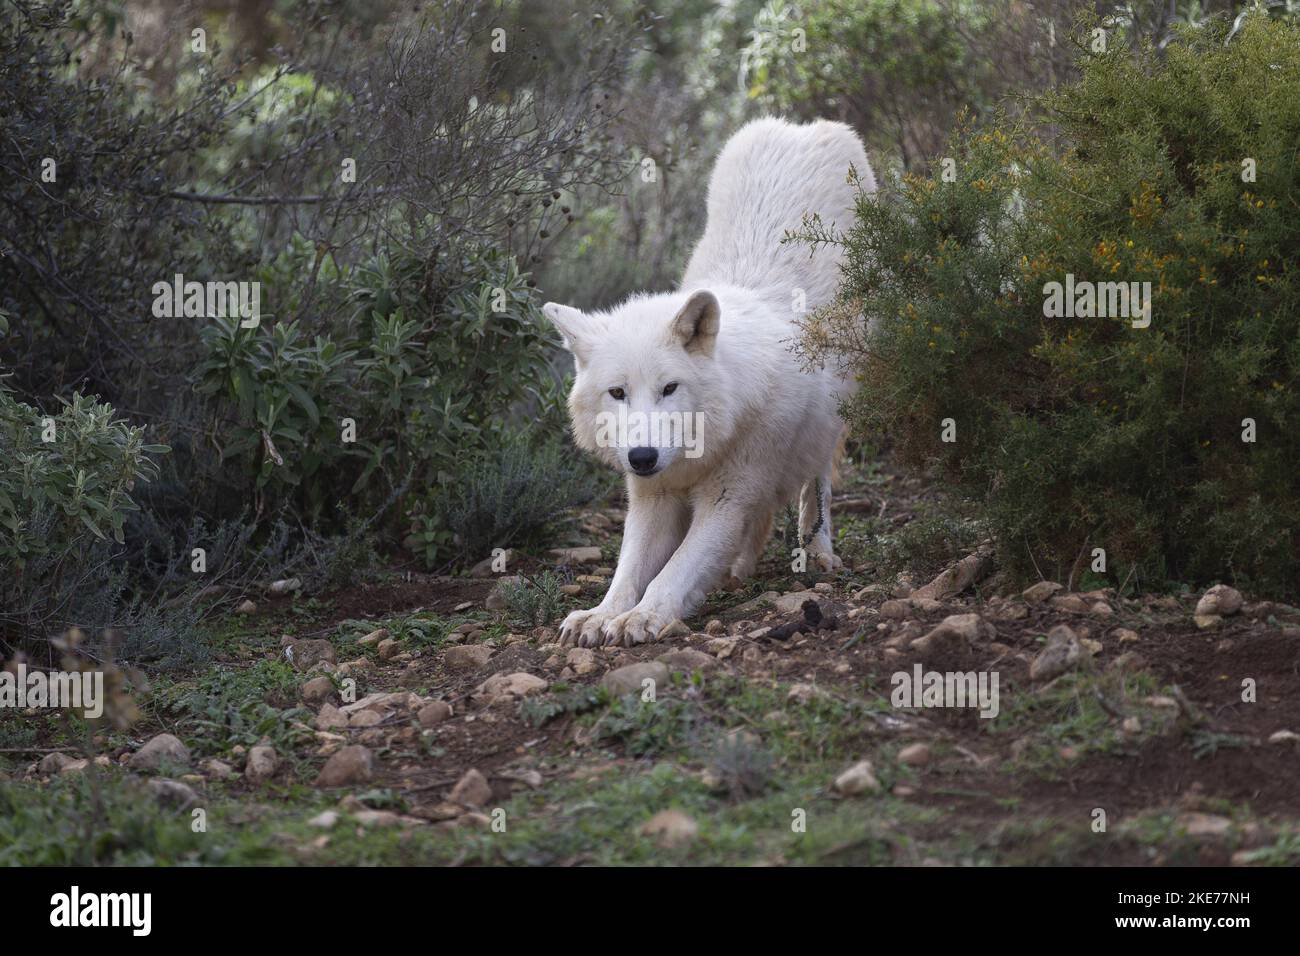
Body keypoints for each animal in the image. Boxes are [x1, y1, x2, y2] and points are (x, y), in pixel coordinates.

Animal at [538, 115, 873, 647]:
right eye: (618, 393)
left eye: (669, 388)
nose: (642, 457)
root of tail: (796, 125)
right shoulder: (652, 498)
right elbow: (627, 570)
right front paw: (600, 614)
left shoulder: (726, 497)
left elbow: (673, 571)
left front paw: (640, 617)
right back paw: (742, 565)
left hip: (836, 404)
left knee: (817, 480)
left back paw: (817, 551)